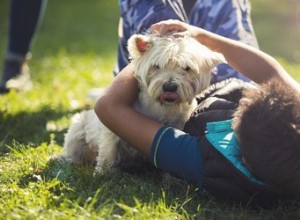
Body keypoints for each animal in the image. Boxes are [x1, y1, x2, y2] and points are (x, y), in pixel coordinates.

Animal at [56, 33, 225, 174]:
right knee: (74, 149)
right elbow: (108, 149)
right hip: (78, 126)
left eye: (187, 68)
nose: (169, 86)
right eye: (156, 66)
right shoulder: (111, 125)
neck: (162, 108)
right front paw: (102, 173)